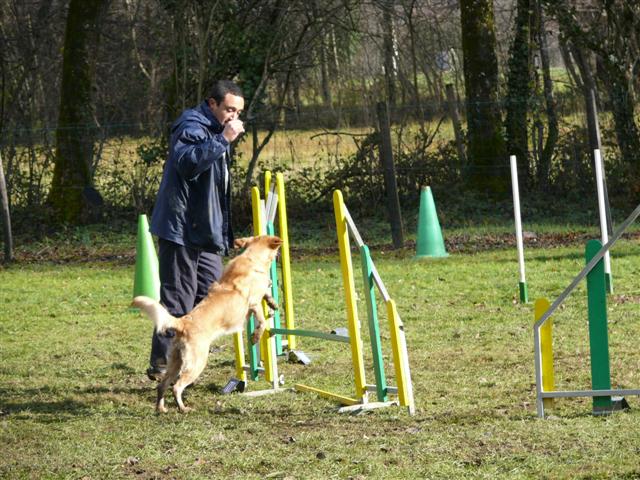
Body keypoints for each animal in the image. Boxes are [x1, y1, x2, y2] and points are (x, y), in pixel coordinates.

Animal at [133, 234, 282, 410]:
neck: (252, 258)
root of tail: (183, 323)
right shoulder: (253, 304)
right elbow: (262, 322)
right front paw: (255, 337)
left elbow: (266, 292)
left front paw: (273, 303)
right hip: (197, 362)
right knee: (177, 387)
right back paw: (183, 408)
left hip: (175, 362)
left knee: (162, 385)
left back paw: (161, 409)